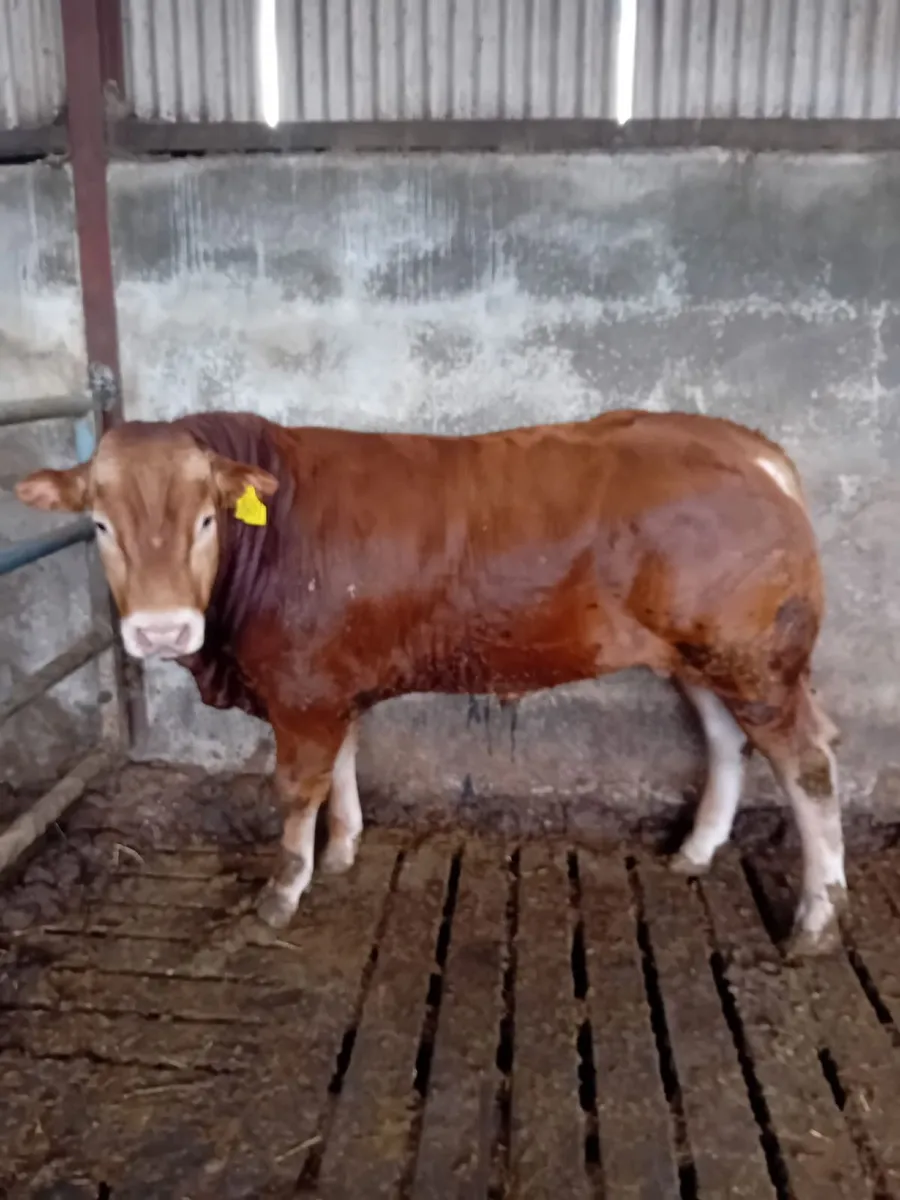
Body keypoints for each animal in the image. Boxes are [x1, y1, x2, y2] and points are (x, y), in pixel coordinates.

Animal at [16, 408, 845, 957]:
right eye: (99, 525)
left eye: (207, 522)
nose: (160, 630)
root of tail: (742, 444)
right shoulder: (332, 681)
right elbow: (344, 763)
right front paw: (345, 847)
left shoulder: (302, 690)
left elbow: (298, 788)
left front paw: (285, 890)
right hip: (704, 657)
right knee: (727, 742)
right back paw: (697, 851)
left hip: (754, 657)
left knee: (808, 763)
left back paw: (814, 917)